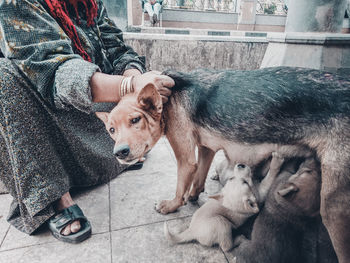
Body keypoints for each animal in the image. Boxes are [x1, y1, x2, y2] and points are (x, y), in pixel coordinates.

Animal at [97, 67, 350, 262]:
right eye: (111, 130)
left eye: (135, 120)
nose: (120, 152)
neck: (169, 97)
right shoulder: (206, 149)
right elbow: (198, 178)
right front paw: (194, 196)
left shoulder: (185, 158)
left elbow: (180, 186)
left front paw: (172, 205)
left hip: (332, 208)